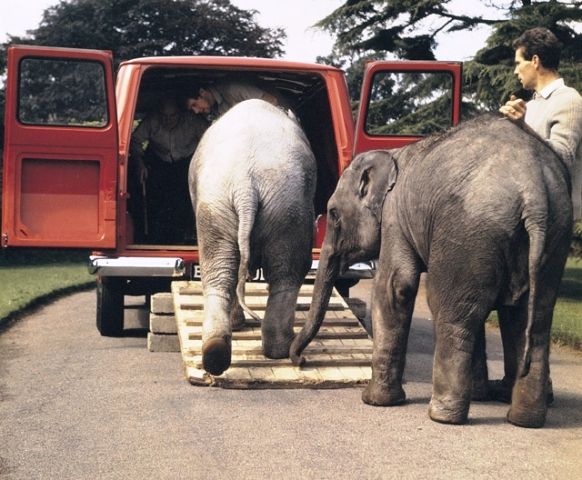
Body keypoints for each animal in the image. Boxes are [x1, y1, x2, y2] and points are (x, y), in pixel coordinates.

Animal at [190, 98, 320, 376]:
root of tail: (244, 183)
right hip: (284, 206)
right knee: (286, 272)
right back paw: (277, 348)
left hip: (224, 207)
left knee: (221, 271)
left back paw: (218, 354)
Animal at [290, 115, 572, 428]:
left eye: (334, 214)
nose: (300, 361)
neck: (392, 155)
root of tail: (534, 191)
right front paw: (480, 396)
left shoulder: (395, 217)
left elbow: (394, 287)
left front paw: (374, 401)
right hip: (553, 236)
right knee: (530, 320)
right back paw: (523, 419)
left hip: (468, 232)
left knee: (450, 311)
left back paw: (443, 415)